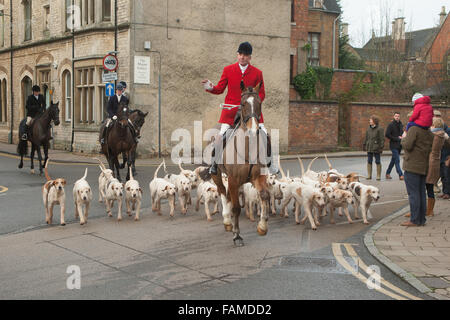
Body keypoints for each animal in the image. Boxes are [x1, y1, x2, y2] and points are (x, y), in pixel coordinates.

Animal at [201, 81, 270, 246]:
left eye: (259, 103)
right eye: (243, 103)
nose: (253, 130)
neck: (248, 147)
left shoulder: (257, 178)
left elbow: (264, 196)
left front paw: (262, 226)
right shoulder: (232, 180)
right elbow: (237, 208)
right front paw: (237, 235)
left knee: (227, 195)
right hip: (218, 176)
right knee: (222, 192)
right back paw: (227, 221)